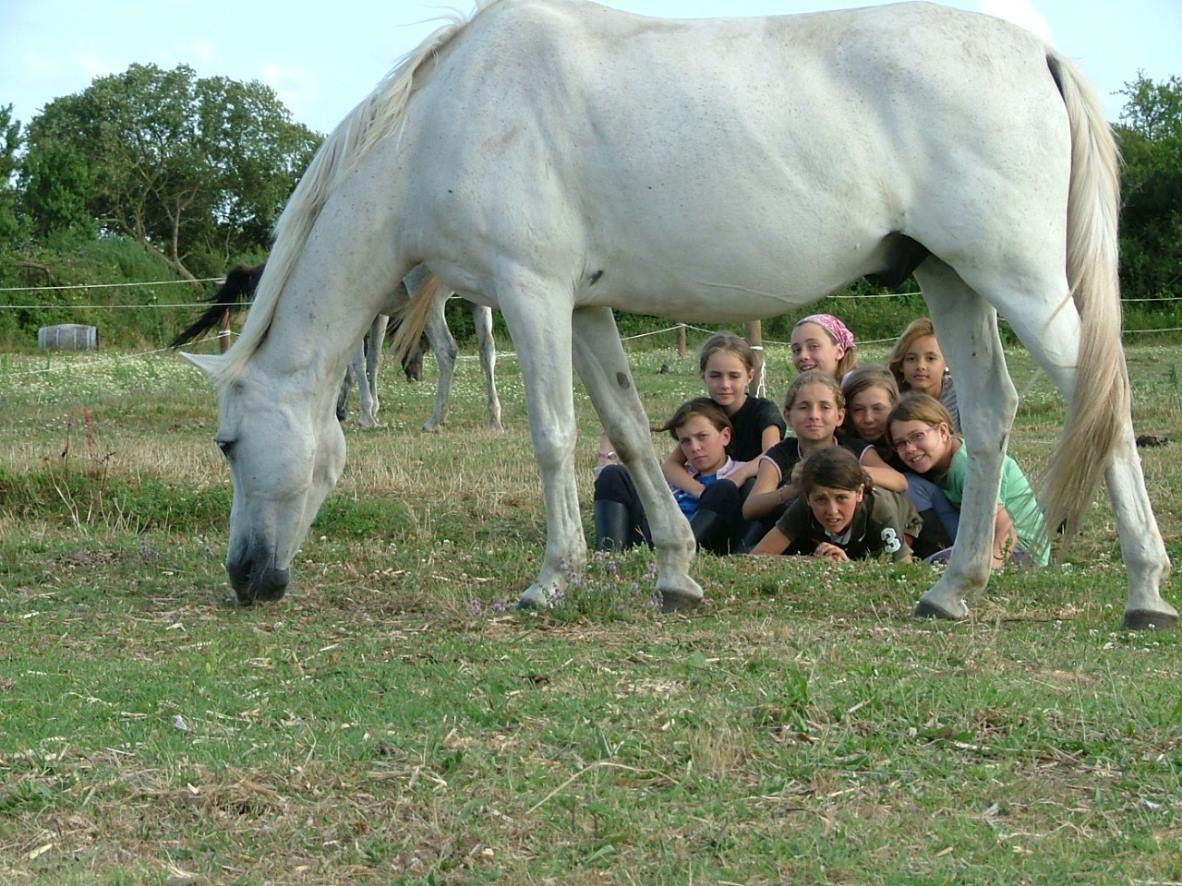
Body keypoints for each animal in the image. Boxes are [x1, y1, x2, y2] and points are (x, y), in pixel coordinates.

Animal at [179, 0, 1177, 633]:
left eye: (228, 443)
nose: (244, 578)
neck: (449, 116)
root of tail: (1038, 55)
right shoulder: (583, 307)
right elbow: (624, 428)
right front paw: (674, 575)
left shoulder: (532, 293)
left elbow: (552, 436)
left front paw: (550, 584)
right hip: (954, 279)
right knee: (995, 410)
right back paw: (953, 591)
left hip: (1017, 279)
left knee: (1101, 402)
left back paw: (1143, 594)